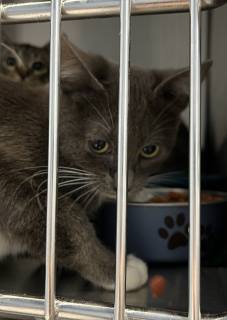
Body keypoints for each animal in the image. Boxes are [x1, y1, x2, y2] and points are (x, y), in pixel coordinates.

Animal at [0, 36, 211, 292]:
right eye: (99, 144)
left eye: (150, 150)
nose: (124, 184)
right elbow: (61, 217)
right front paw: (119, 270)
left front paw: (142, 193)